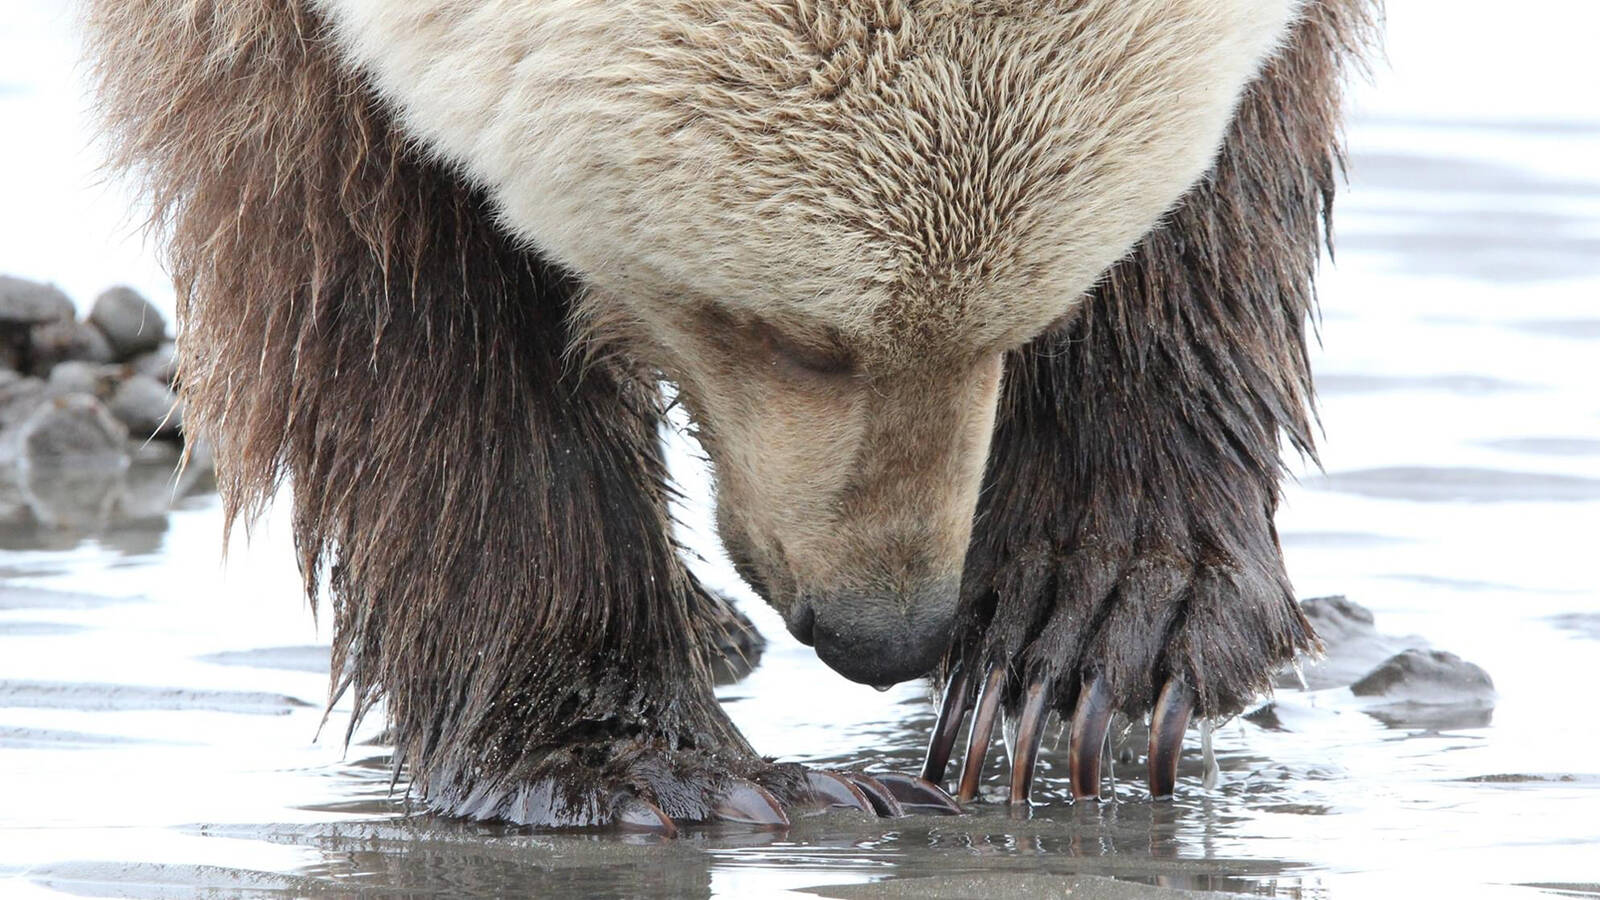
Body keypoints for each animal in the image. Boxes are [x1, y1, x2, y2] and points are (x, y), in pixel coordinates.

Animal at [84, 0, 1376, 831]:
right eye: (793, 335)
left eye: (1036, 312)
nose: (884, 631)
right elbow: (376, 250)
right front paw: (642, 761)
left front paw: (1092, 629)